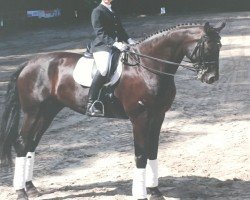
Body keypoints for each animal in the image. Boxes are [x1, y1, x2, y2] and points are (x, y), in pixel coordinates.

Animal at [0, 21, 226, 199]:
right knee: (22, 143)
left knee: (31, 144)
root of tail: (29, 63)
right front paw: (140, 194)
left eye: (220, 46)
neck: (147, 67)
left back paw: (31, 188)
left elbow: (152, 152)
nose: (211, 78)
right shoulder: (140, 117)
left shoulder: (158, 115)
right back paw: (20, 191)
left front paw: (155, 192)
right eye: (207, 46)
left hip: (47, 112)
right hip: (33, 112)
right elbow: (140, 155)